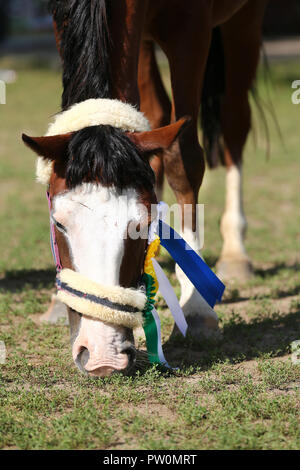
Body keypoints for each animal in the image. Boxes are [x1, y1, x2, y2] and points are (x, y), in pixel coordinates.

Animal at [22, 0, 268, 376]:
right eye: (58, 223)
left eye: (143, 224)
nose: (103, 356)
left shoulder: (191, 28)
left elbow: (184, 159)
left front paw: (198, 308)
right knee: (158, 113)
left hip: (245, 20)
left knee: (234, 123)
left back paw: (234, 253)